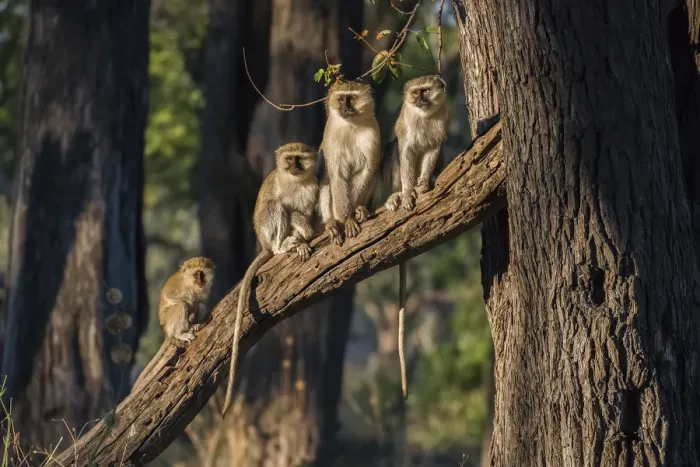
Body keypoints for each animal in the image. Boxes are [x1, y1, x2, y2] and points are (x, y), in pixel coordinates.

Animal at [131, 257, 215, 392]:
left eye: (202, 274)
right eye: (196, 274)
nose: (201, 280)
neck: (190, 285)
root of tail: (166, 331)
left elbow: (200, 301)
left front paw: (194, 313)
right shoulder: (177, 283)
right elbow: (170, 296)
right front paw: (189, 305)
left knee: (201, 305)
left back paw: (194, 325)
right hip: (169, 322)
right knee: (180, 305)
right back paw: (180, 333)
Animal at [221, 142, 319, 417]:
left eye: (300, 158)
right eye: (289, 159)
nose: (294, 166)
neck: (295, 181)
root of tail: (263, 245)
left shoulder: (314, 187)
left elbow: (308, 212)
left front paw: (307, 233)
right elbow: (285, 208)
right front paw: (300, 235)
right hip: (266, 232)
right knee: (274, 206)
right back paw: (282, 246)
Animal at [317, 80, 382, 246]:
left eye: (352, 98)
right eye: (341, 99)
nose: (345, 108)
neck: (351, 125)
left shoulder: (373, 132)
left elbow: (367, 171)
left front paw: (353, 214)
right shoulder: (330, 134)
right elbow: (337, 176)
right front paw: (347, 219)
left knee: (375, 174)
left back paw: (362, 209)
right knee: (327, 180)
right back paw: (332, 222)